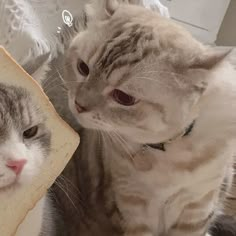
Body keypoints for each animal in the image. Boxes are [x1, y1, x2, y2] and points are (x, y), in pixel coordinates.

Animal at [62, 0, 236, 236]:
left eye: (124, 98)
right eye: (83, 68)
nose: (79, 105)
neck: (164, 152)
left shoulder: (196, 209)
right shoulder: (133, 207)